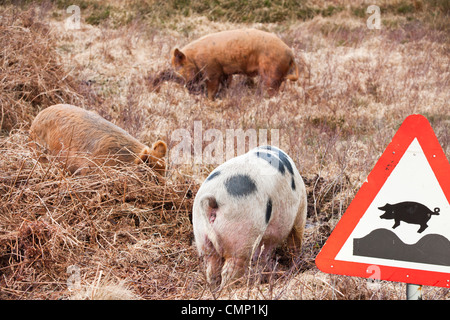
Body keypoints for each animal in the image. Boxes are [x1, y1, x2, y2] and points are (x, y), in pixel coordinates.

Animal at [171, 28, 300, 99]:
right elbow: (225, 85)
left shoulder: (212, 70)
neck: (194, 58)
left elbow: (212, 88)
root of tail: (291, 54)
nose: (188, 88)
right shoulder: (224, 72)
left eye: (180, 66)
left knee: (271, 88)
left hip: (272, 70)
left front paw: (209, 100)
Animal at [192, 146, 308, 288]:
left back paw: (214, 289)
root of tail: (212, 200)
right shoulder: (301, 208)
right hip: (241, 235)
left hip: (202, 235)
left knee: (212, 267)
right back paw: (231, 288)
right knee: (230, 270)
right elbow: (296, 237)